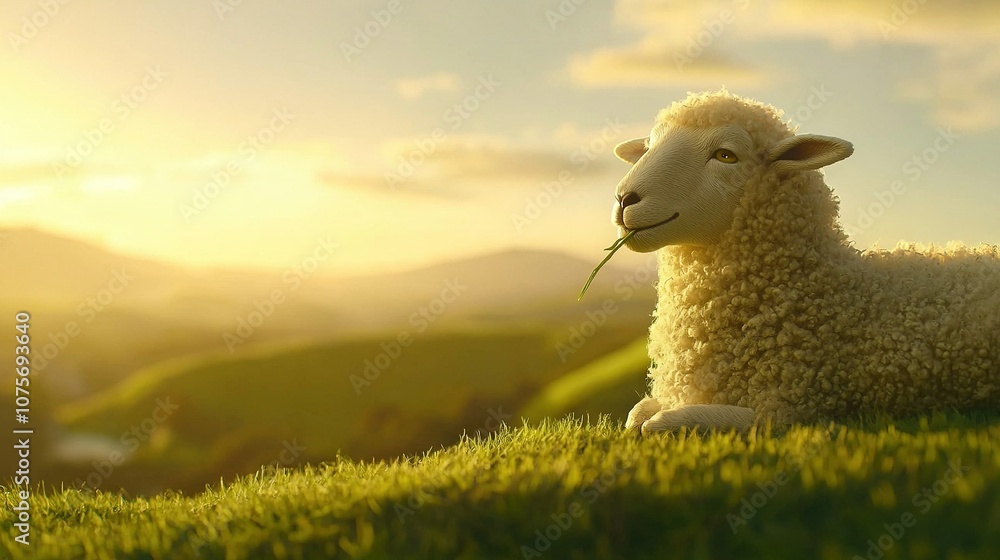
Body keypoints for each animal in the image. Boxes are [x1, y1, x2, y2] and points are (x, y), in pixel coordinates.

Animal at [612, 89, 1000, 435]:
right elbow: (635, 416)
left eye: (725, 155)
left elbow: (660, 424)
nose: (624, 198)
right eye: (648, 147)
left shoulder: (784, 407)